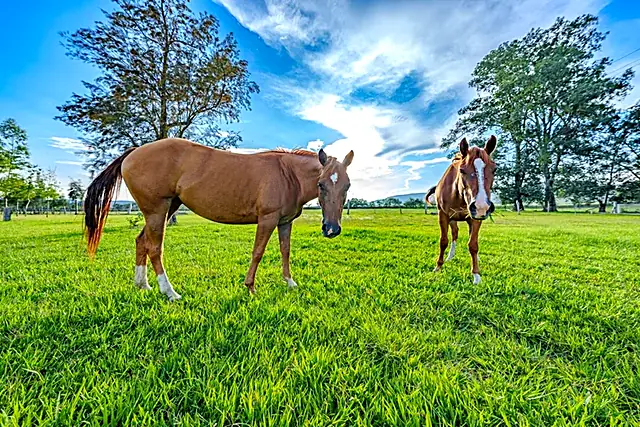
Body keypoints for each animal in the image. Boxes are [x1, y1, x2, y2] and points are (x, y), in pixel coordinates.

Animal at [83, 138, 354, 301]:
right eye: (321, 184)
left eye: (347, 186)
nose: (331, 229)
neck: (288, 174)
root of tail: (134, 152)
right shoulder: (267, 220)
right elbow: (258, 252)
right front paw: (250, 286)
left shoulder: (284, 222)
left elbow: (285, 250)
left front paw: (290, 282)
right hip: (157, 211)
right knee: (154, 248)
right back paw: (169, 292)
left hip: (165, 209)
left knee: (141, 242)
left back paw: (143, 285)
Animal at [425, 135, 496, 284]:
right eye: (462, 170)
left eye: (494, 169)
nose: (481, 206)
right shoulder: (443, 215)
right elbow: (443, 241)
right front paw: (438, 266)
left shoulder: (476, 217)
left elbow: (473, 244)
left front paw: (476, 275)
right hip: (453, 219)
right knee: (454, 234)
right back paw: (450, 256)